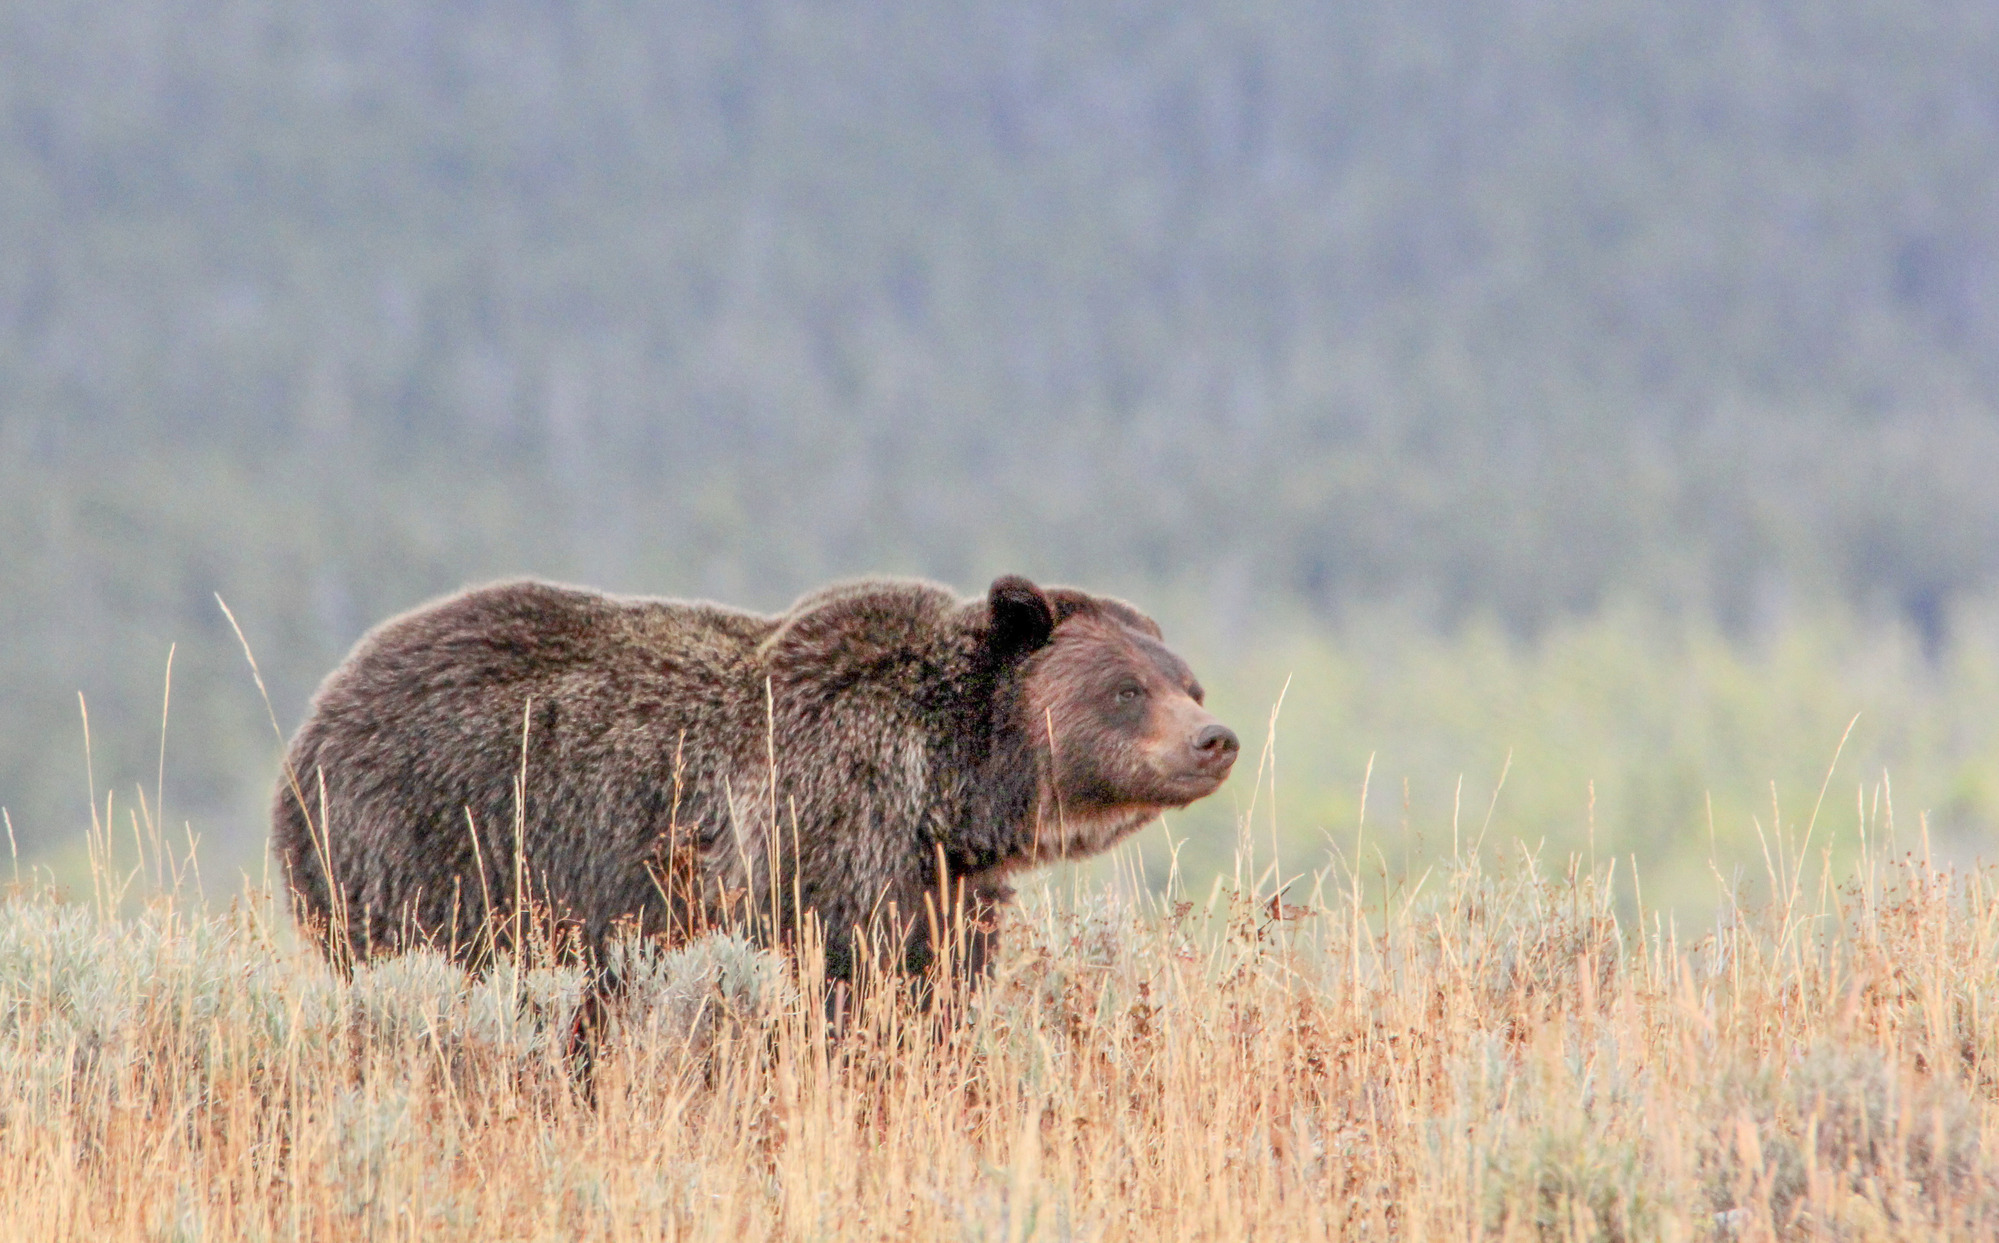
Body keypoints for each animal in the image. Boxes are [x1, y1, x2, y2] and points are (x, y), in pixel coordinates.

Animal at [270, 574, 1239, 983]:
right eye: (1125, 689)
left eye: (1186, 681)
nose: (1214, 739)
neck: (945, 789)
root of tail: (317, 712)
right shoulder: (824, 829)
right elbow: (845, 974)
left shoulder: (942, 880)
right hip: (426, 842)